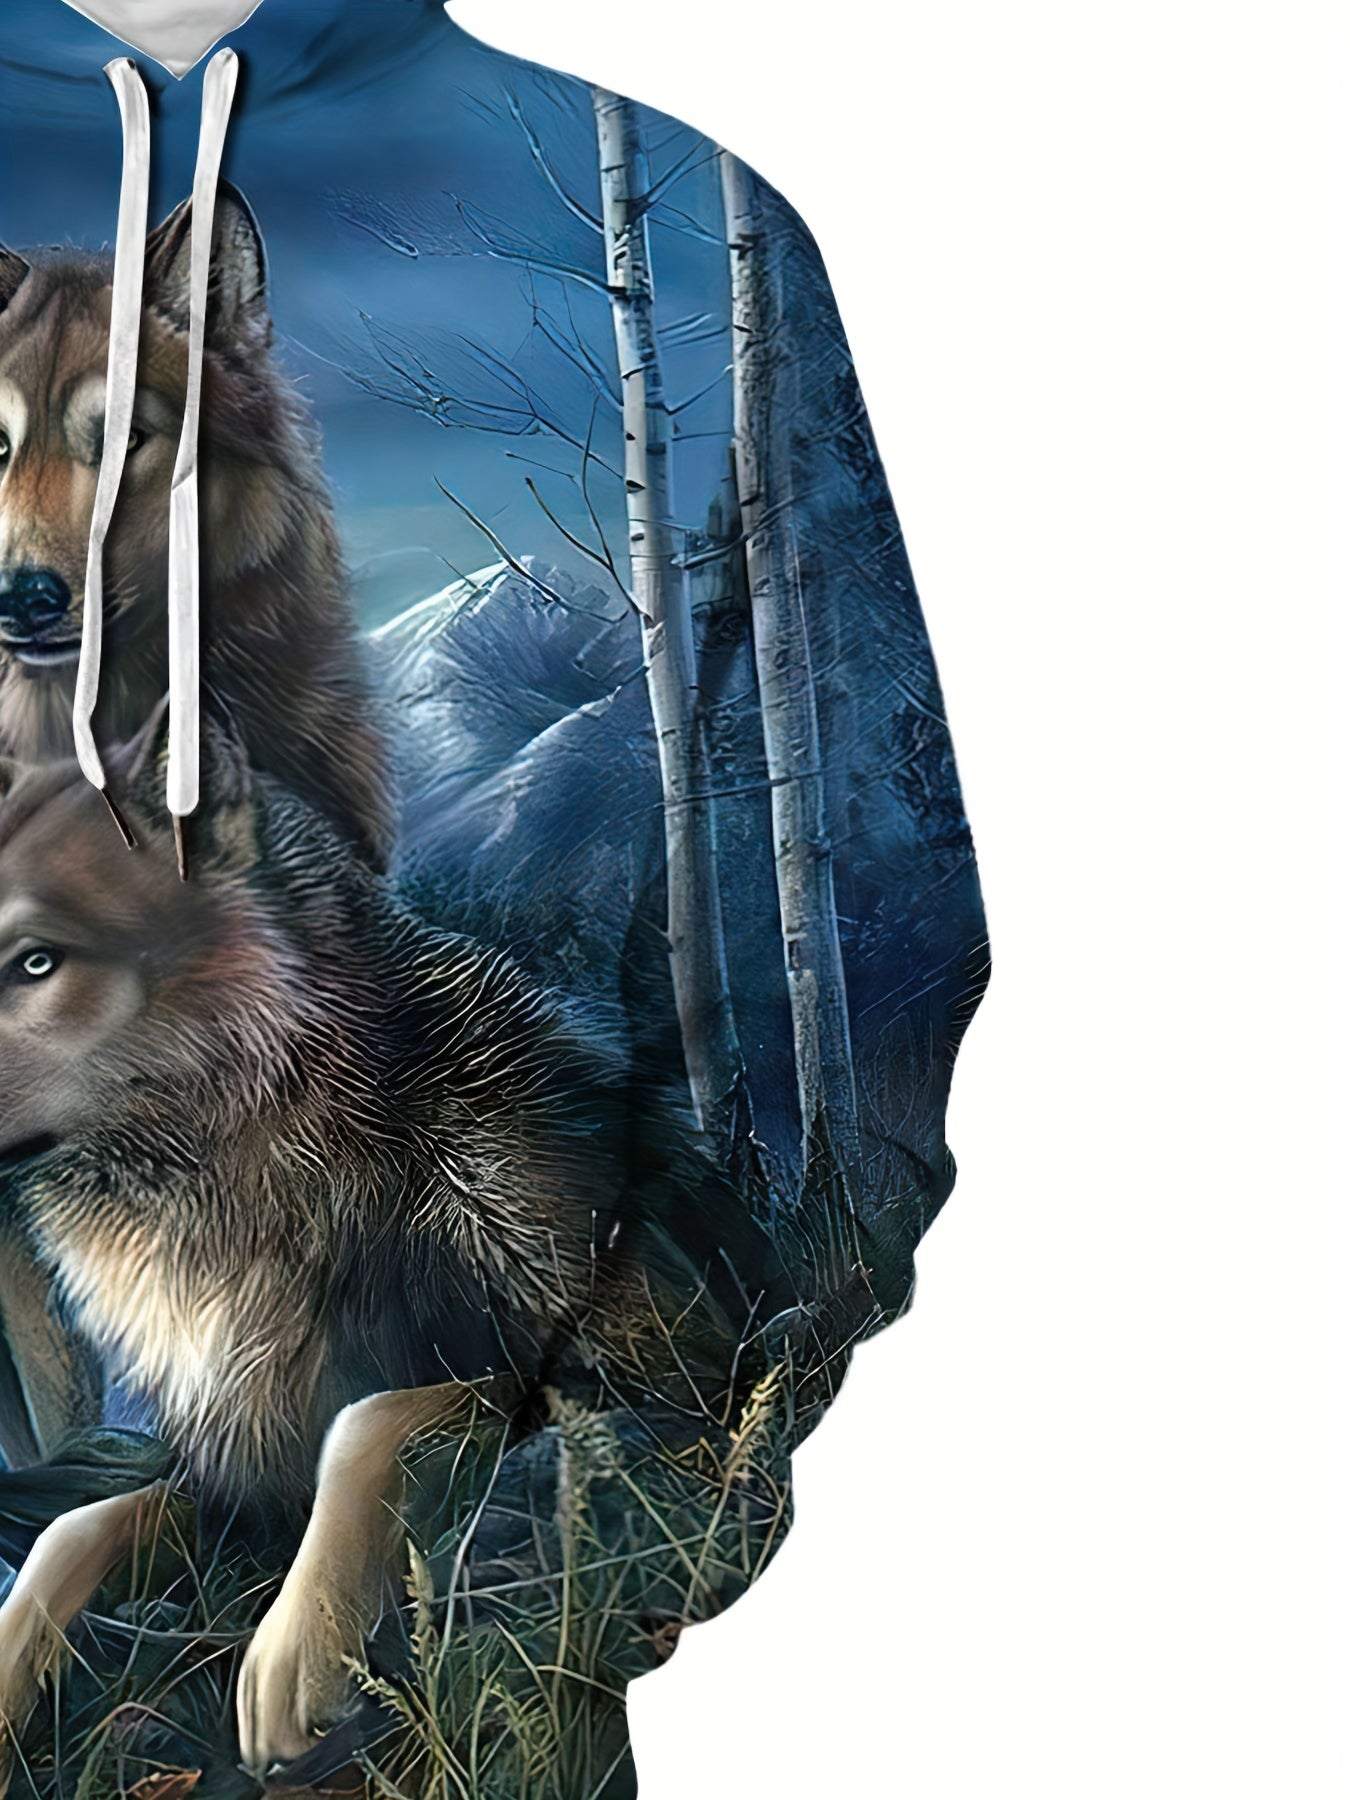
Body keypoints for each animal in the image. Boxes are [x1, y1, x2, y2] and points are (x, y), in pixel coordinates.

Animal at [0, 718, 775, 1779]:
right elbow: (80, 1526)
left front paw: (300, 1650)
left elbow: (375, 1417)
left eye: (35, 962)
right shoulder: (240, 1476)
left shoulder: (663, 1364)